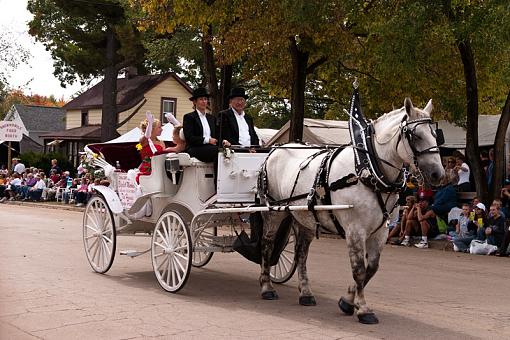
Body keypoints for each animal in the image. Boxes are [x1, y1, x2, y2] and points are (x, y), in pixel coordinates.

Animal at [256, 97, 444, 324]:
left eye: (436, 135)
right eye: (415, 136)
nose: (438, 174)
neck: (368, 171)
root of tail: (276, 150)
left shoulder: (381, 231)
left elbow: (371, 268)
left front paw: (347, 301)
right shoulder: (355, 230)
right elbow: (359, 269)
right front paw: (363, 309)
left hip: (304, 217)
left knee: (301, 253)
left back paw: (305, 293)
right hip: (274, 211)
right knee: (267, 245)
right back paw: (267, 287)